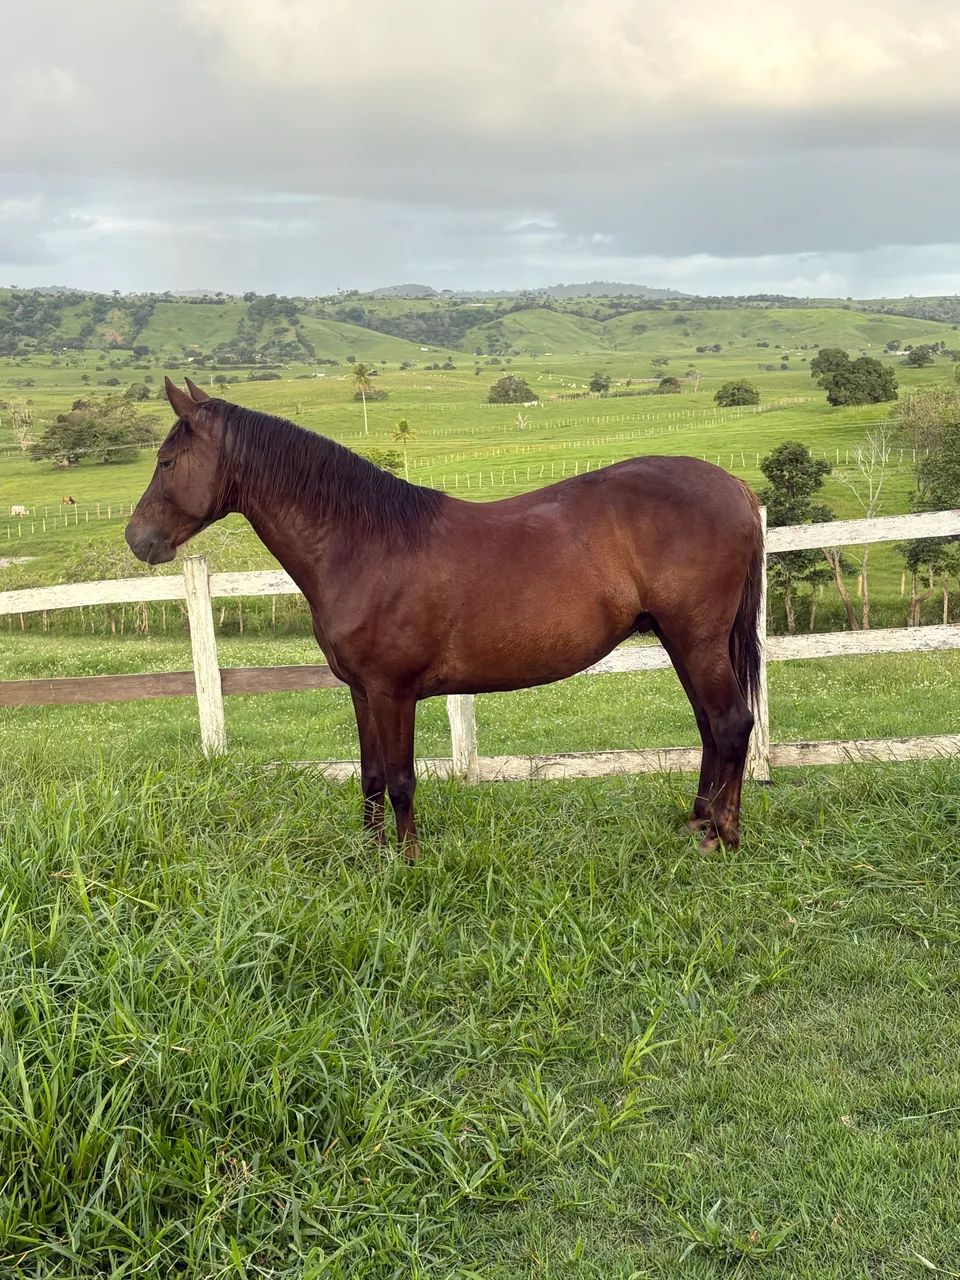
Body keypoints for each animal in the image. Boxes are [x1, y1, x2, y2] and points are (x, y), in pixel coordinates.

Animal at [125, 378, 763, 858]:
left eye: (166, 460)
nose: (137, 539)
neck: (363, 544)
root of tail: (733, 485)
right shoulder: (361, 691)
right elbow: (370, 776)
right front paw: (370, 855)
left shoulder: (394, 692)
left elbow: (402, 780)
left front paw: (407, 863)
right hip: (680, 643)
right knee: (709, 726)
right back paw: (698, 821)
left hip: (697, 641)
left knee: (732, 724)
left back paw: (722, 837)